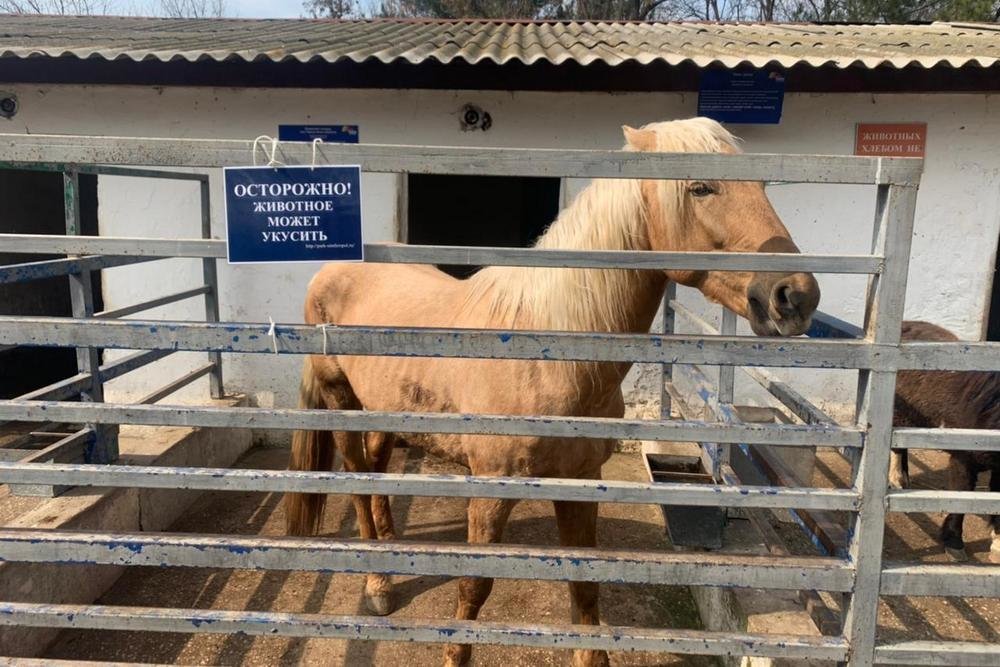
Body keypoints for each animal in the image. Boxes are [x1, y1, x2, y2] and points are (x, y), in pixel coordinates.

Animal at [282, 117, 820, 664]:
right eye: (700, 187)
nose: (796, 296)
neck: (550, 354)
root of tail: (330, 271)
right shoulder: (491, 491)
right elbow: (473, 589)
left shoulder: (580, 481)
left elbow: (585, 586)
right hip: (341, 402)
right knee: (356, 478)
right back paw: (377, 584)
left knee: (378, 470)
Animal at [892, 324, 1000, 564]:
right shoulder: (963, 459)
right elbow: (961, 497)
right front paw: (953, 543)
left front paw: (997, 545)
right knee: (897, 448)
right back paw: (897, 481)